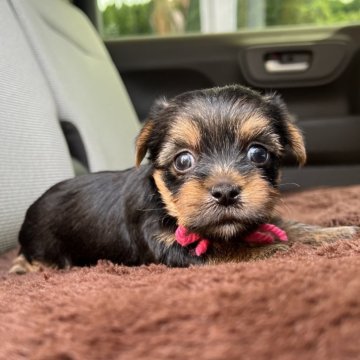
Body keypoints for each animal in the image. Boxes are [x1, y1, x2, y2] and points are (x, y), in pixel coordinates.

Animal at [9, 85, 358, 276]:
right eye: (183, 160)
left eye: (259, 154)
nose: (225, 192)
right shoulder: (168, 246)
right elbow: (229, 251)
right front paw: (274, 249)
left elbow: (282, 226)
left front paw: (332, 233)